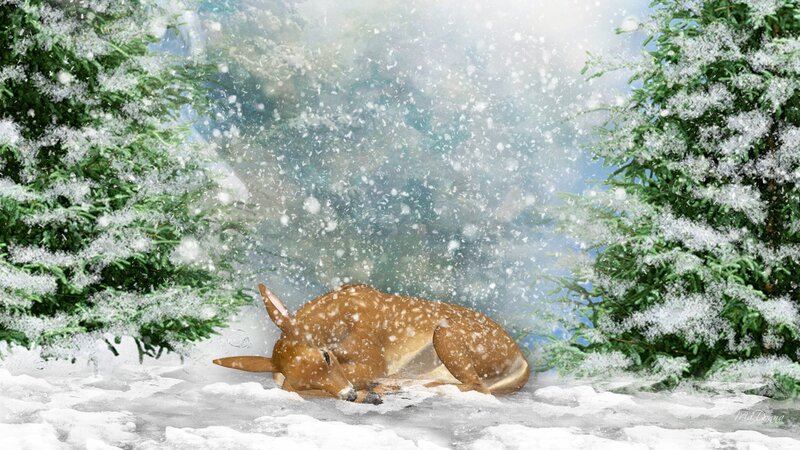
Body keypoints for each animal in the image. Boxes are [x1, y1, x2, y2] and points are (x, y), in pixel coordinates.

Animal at [213, 283, 530, 404]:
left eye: (325, 357)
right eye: (307, 382)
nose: (350, 395)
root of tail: (521, 359)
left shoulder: (374, 358)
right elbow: (285, 384)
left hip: (445, 334)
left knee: (477, 386)